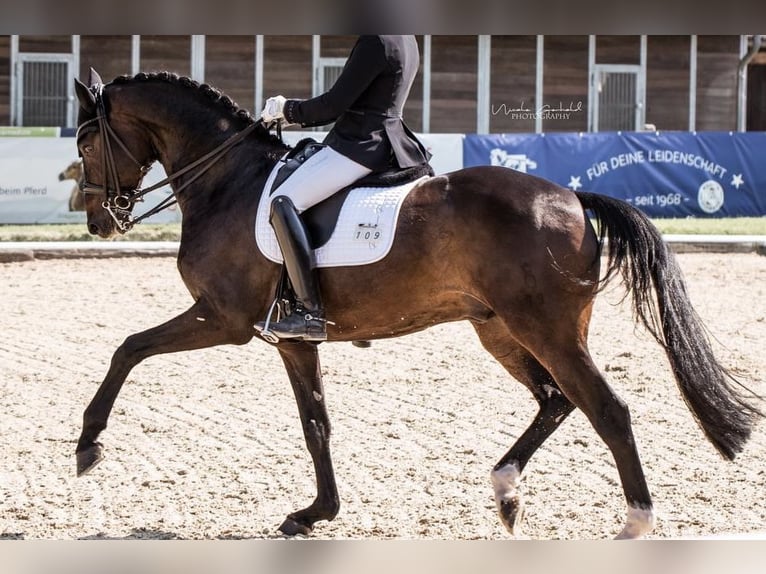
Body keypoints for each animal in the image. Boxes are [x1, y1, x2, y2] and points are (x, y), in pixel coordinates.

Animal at [70, 70, 760, 544]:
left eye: (86, 141)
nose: (99, 222)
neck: (228, 181)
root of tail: (571, 197)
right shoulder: (291, 338)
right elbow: (316, 424)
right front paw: (315, 513)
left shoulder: (224, 318)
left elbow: (127, 348)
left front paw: (88, 444)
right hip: (502, 332)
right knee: (556, 401)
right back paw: (506, 492)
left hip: (548, 330)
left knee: (606, 410)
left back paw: (634, 523)